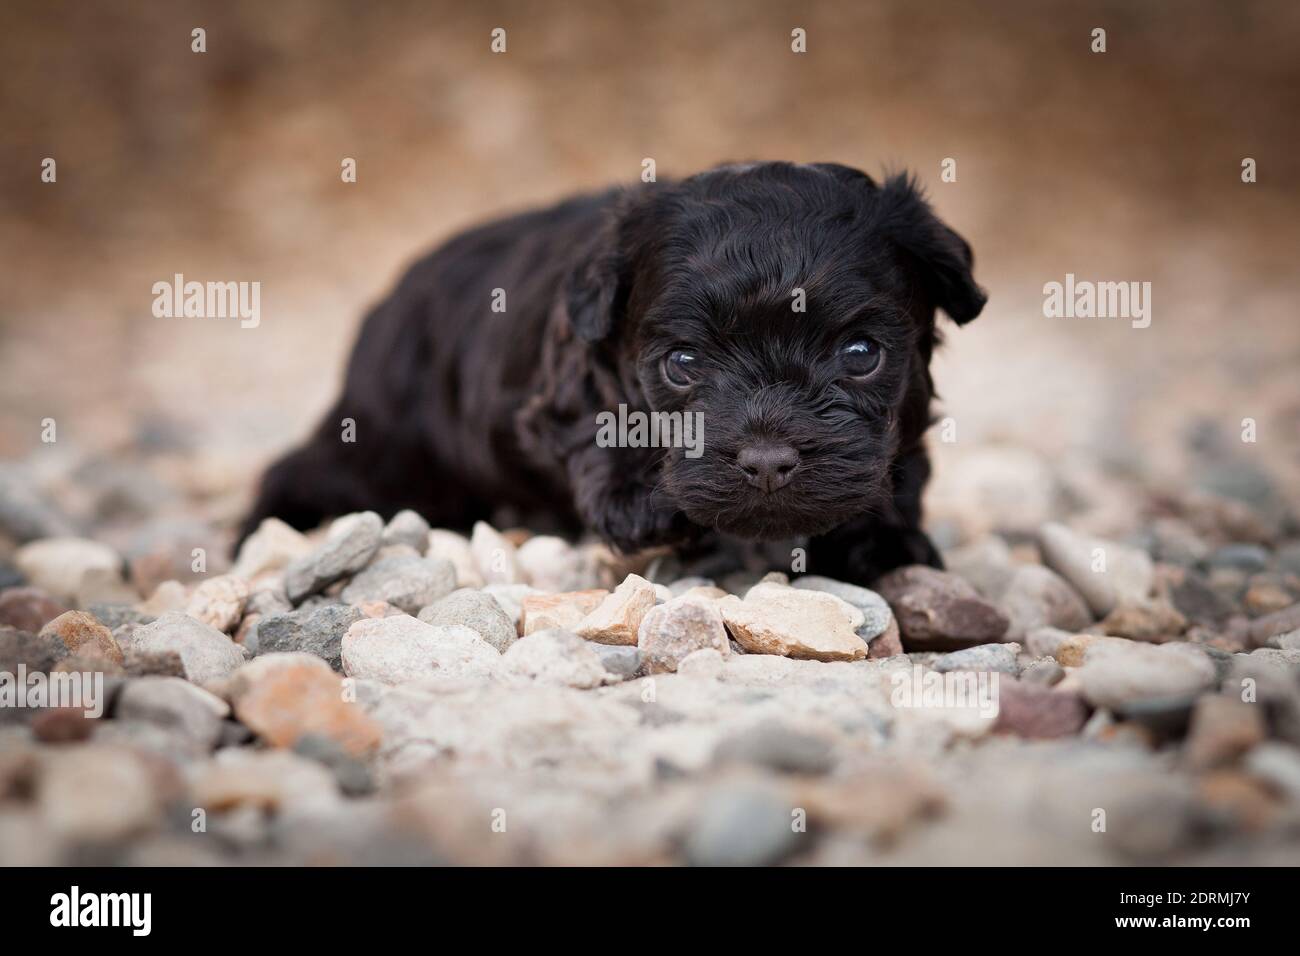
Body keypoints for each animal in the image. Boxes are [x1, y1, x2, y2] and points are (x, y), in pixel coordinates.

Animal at [239, 161, 982, 587]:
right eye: (683, 364)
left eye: (861, 355)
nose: (768, 461)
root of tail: (394, 295)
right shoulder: (563, 384)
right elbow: (600, 424)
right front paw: (639, 504)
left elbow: (899, 466)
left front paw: (880, 540)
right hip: (385, 449)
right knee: (299, 471)